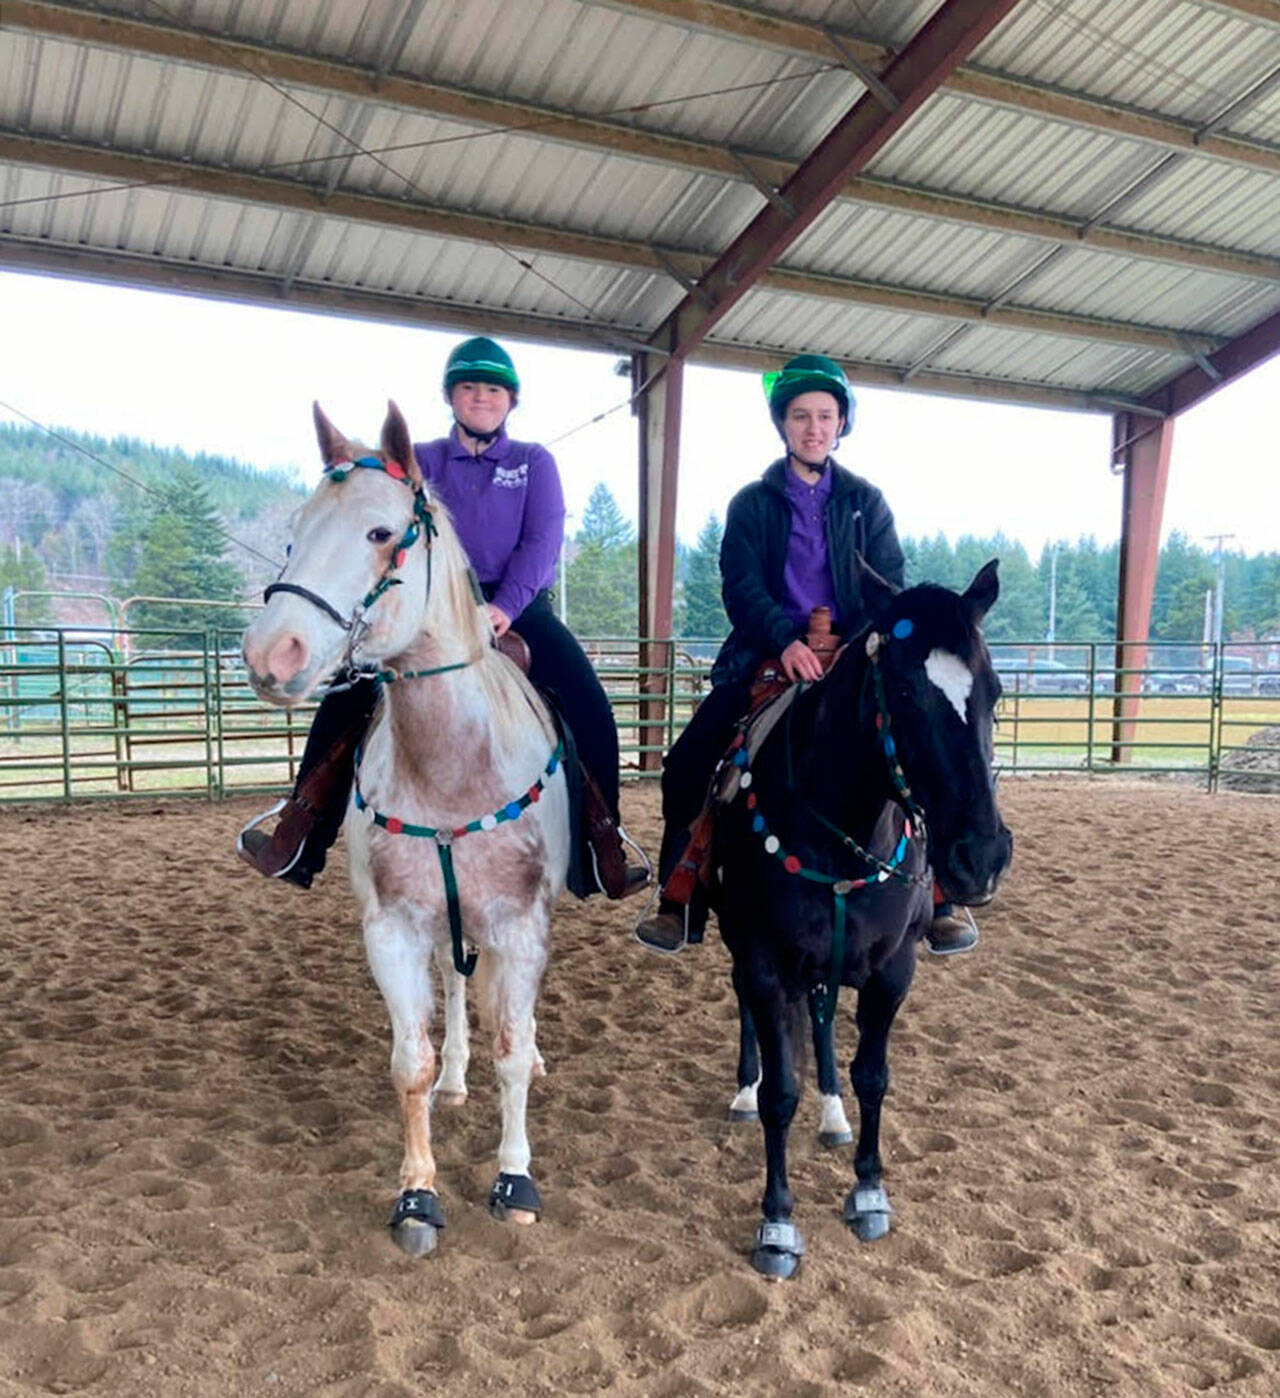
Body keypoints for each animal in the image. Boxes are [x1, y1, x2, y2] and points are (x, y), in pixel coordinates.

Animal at [243, 402, 570, 1258]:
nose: (270, 653)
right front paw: (418, 1194)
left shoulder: (521, 924)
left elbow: (511, 1053)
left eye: (381, 532)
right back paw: (456, 1078)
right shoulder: (392, 929)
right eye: (295, 534)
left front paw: (515, 1179)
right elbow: (409, 1064)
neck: (453, 766)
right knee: (454, 990)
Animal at [709, 556, 1011, 1280]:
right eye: (902, 690)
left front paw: (869, 1190)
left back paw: (832, 1114)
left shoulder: (891, 969)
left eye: (994, 691)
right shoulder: (764, 962)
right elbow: (779, 1094)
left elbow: (873, 1077)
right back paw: (744, 1092)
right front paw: (777, 1223)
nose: (981, 856)